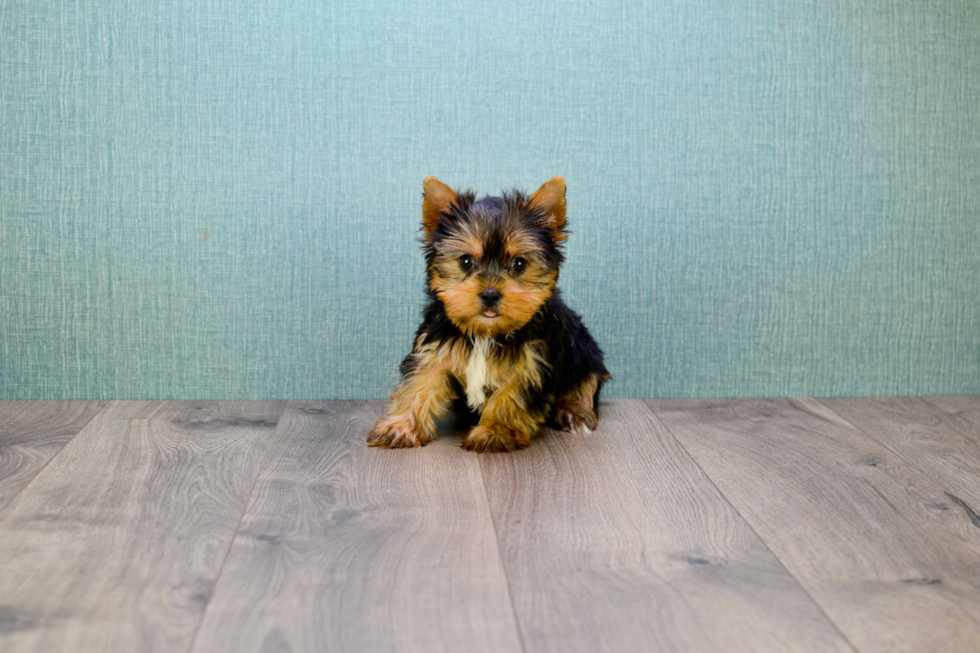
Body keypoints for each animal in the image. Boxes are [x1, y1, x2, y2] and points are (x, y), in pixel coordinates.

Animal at [368, 178, 608, 454]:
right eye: (465, 261)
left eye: (519, 264)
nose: (490, 294)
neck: (485, 332)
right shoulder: (433, 348)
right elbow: (418, 383)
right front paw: (401, 426)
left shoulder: (533, 362)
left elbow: (512, 395)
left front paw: (496, 431)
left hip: (582, 346)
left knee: (587, 378)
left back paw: (574, 411)